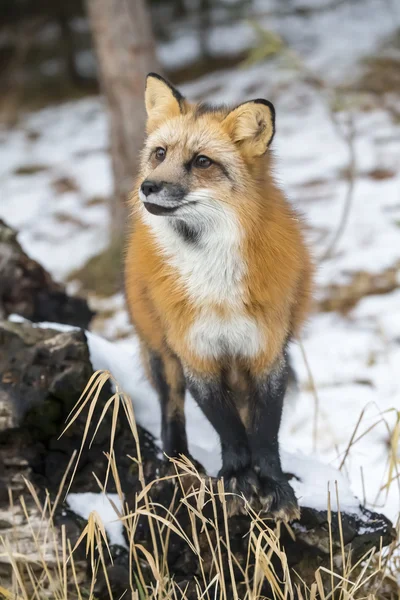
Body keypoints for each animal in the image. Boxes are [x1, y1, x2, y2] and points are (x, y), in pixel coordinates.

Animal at [125, 71, 312, 520]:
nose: (147, 187)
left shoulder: (266, 352)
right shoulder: (197, 353)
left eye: (202, 162)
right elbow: (229, 430)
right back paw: (176, 462)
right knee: (171, 411)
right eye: (160, 153)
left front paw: (274, 485)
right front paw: (237, 479)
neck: (216, 288)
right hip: (161, 353)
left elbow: (264, 433)